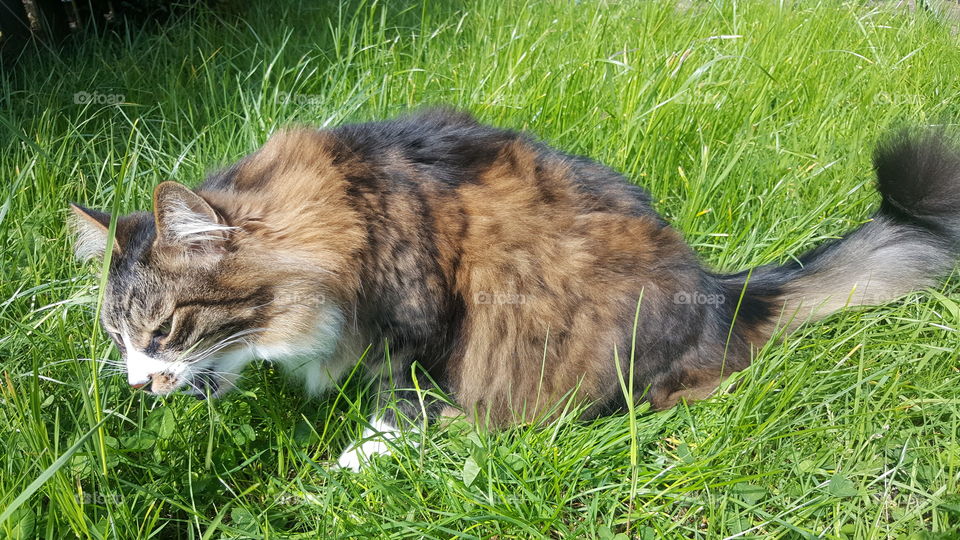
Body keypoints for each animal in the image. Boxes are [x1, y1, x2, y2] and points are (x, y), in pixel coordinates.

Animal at [71, 108, 960, 468]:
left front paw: (342, 476)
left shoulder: (423, 328)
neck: (347, 205)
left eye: (164, 331)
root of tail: (723, 289)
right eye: (117, 340)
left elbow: (395, 415)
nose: (138, 386)